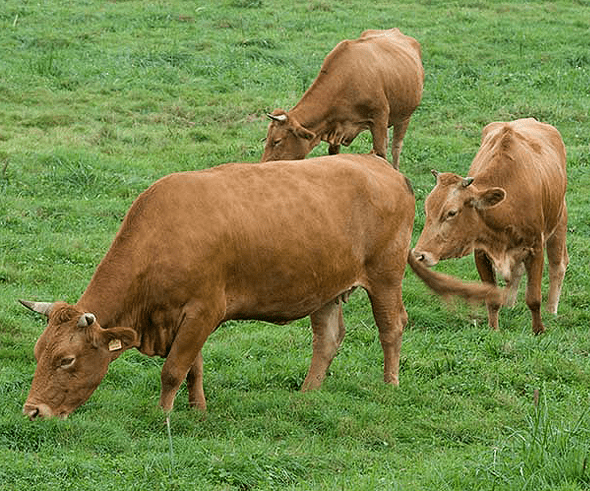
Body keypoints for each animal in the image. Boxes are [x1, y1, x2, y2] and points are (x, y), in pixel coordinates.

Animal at [262, 29, 424, 171]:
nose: (262, 164)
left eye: (277, 141)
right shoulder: (336, 128)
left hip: (404, 115)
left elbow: (380, 153)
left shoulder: (379, 119)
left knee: (396, 146)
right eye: (266, 139)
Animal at [412, 118, 568, 334]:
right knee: (516, 272)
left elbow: (533, 298)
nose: (419, 255)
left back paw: (552, 309)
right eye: (427, 210)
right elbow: (491, 298)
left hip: (559, 221)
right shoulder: (481, 253)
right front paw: (494, 329)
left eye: (451, 213)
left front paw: (538, 330)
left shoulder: (535, 248)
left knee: (558, 266)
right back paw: (510, 305)